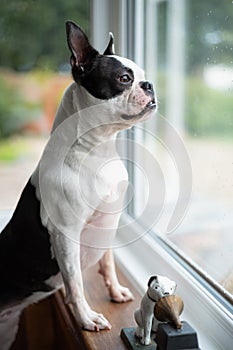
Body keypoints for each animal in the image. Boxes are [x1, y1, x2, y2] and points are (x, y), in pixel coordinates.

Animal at [0, 21, 157, 348]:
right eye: (124, 79)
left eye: (142, 75)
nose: (149, 85)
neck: (96, 149)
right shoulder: (65, 234)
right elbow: (75, 283)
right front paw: (86, 318)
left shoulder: (109, 222)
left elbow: (107, 263)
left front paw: (116, 291)